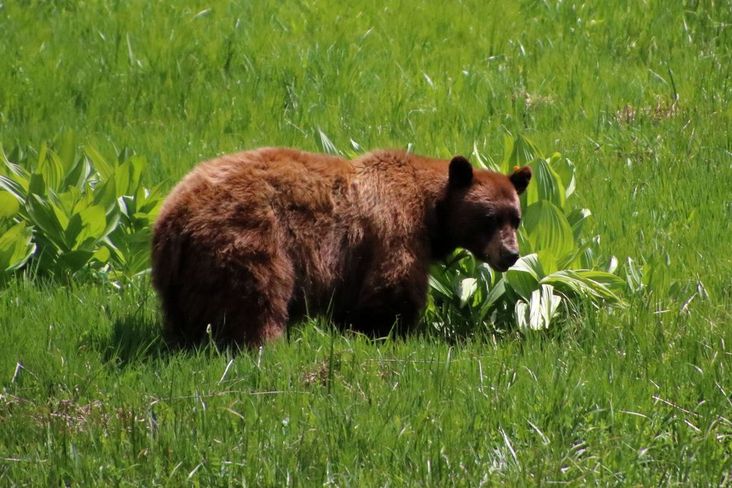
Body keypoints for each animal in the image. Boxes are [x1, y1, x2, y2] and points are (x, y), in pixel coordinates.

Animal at [153, 147, 532, 348]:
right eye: (489, 218)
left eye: (516, 218)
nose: (511, 255)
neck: (431, 210)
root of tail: (174, 216)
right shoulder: (394, 231)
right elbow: (392, 287)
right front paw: (392, 332)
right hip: (249, 237)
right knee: (258, 294)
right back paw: (266, 342)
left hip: (181, 276)